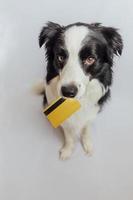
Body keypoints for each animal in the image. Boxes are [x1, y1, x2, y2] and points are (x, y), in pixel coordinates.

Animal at [38, 21, 122, 159]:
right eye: (60, 57)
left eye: (90, 59)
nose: (68, 92)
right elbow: (68, 136)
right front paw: (67, 150)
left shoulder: (91, 113)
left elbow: (86, 130)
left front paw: (88, 146)